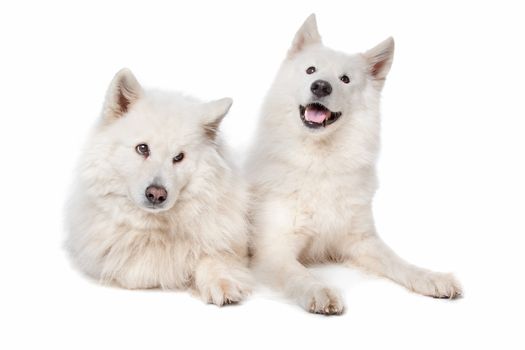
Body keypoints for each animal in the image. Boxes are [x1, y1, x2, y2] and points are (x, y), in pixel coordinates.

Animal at [66, 67, 252, 304]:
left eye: (179, 157)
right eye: (142, 148)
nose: (156, 194)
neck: (156, 227)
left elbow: (212, 257)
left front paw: (221, 283)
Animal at [244, 14, 460, 314]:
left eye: (345, 79)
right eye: (310, 70)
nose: (321, 86)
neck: (321, 162)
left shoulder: (361, 240)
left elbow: (397, 261)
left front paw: (429, 277)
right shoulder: (274, 249)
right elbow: (299, 273)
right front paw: (319, 290)